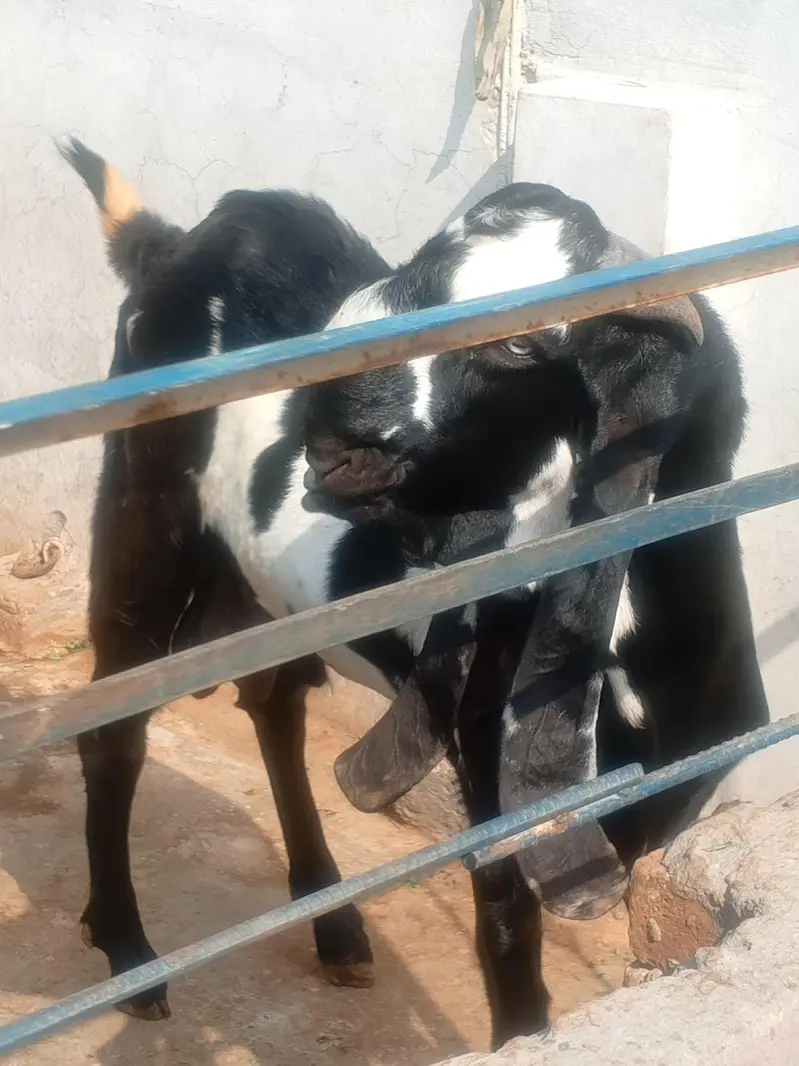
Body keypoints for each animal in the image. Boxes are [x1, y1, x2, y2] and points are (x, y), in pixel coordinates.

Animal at [62, 139, 768, 1048]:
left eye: (518, 347)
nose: (320, 433)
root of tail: (182, 241)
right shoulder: (490, 780)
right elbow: (507, 941)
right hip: (144, 523)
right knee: (113, 728)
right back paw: (128, 951)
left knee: (273, 704)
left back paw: (333, 926)